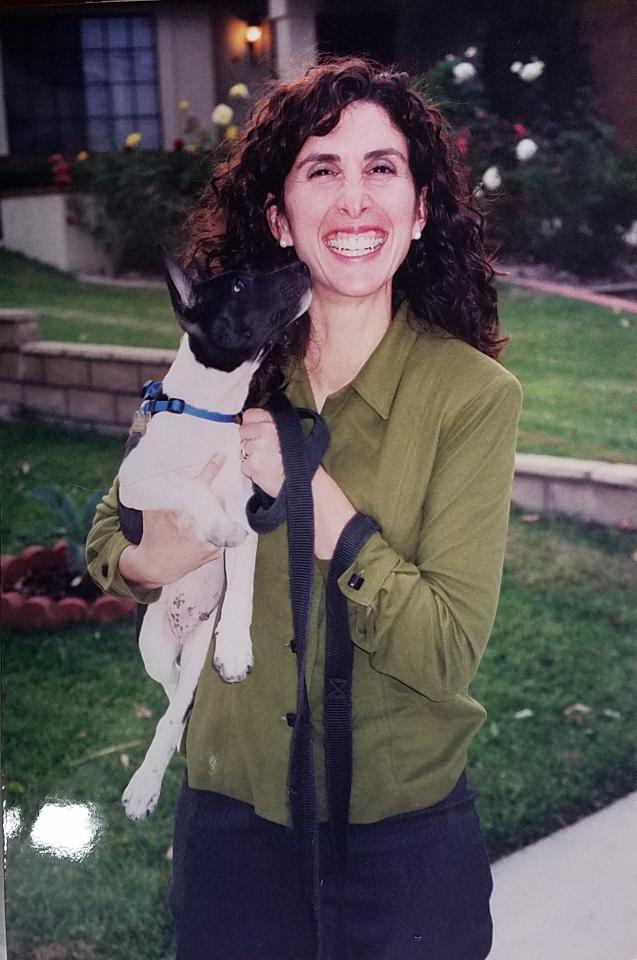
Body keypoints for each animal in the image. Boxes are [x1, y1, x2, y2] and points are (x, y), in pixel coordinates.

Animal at [118, 253, 310, 816]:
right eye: (241, 284)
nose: (304, 267)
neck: (208, 412)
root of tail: (185, 630)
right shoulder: (136, 483)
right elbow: (187, 487)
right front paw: (213, 523)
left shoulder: (249, 515)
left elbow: (242, 589)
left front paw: (237, 652)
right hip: (153, 645)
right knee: (171, 697)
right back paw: (146, 781)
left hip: (196, 641)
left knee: (179, 701)